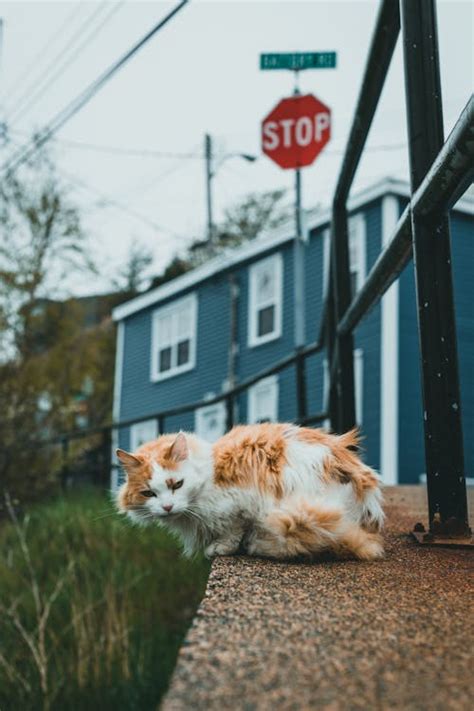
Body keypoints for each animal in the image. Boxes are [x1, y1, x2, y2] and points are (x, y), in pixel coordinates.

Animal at [115, 422, 386, 560]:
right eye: (149, 493)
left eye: (176, 484)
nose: (167, 507)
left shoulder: (239, 505)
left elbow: (232, 531)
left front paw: (220, 548)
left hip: (298, 516)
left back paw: (257, 546)